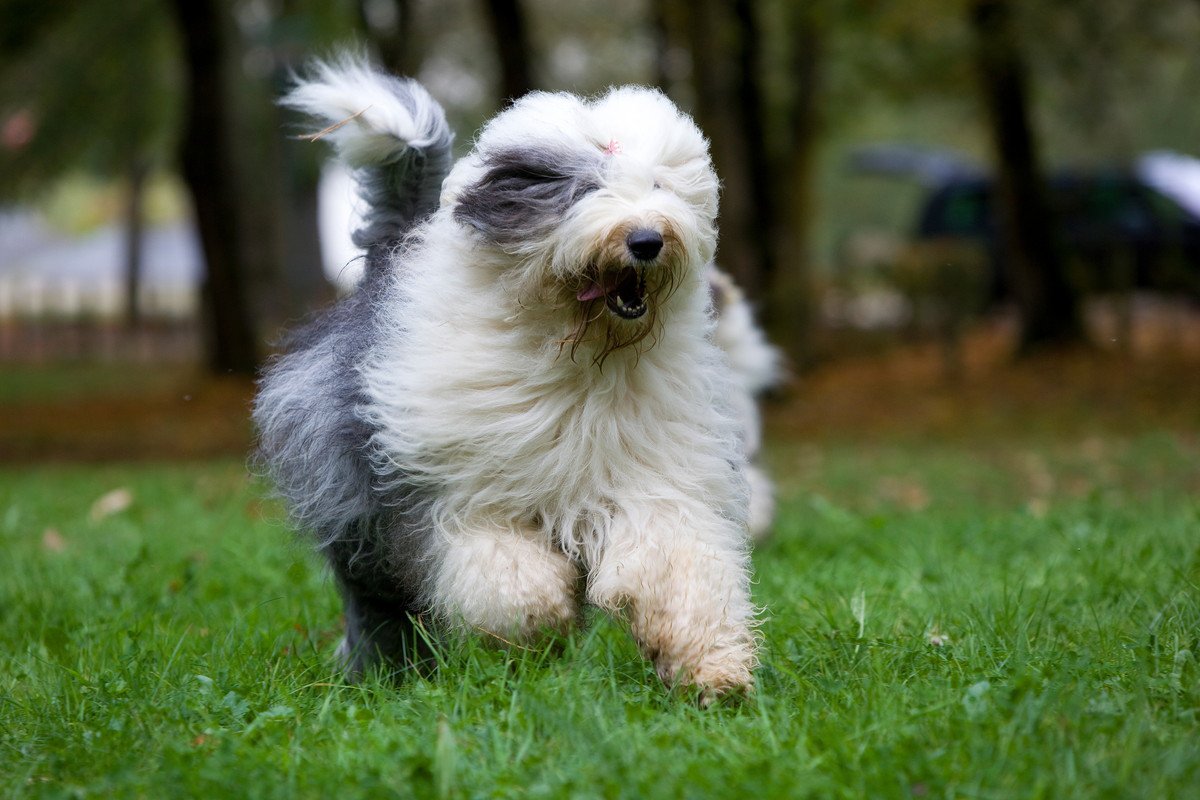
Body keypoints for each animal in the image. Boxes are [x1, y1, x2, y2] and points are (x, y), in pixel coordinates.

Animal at [254, 57, 758, 700]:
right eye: (585, 189)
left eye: (660, 188)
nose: (646, 239)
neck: (581, 360)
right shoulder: (461, 499)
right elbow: (509, 579)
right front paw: (547, 622)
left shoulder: (654, 482)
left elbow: (676, 567)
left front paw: (712, 672)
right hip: (357, 519)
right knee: (377, 605)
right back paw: (384, 676)